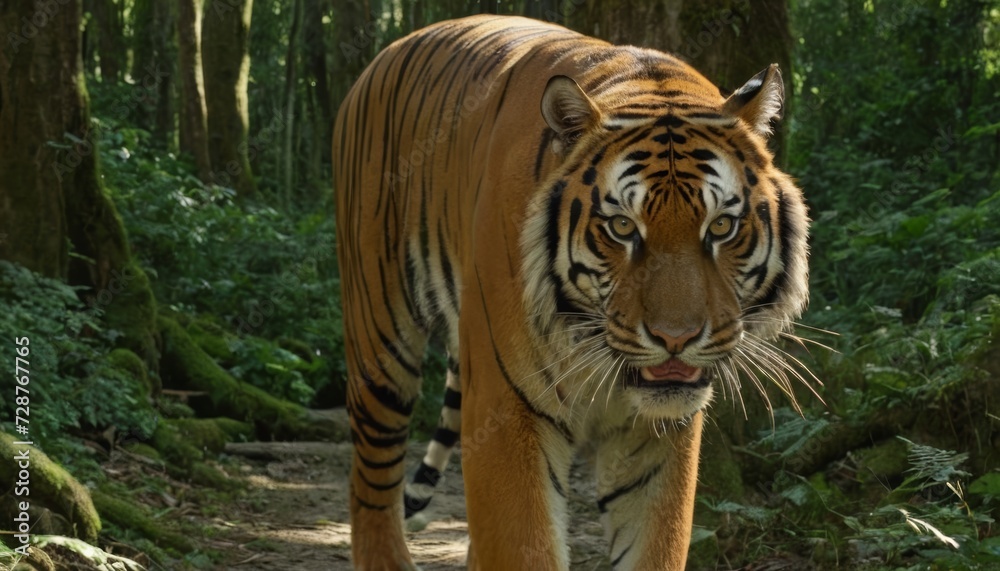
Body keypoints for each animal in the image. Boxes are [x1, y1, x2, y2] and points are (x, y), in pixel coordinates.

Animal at [333, 14, 809, 571]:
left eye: (721, 227)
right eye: (622, 227)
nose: (676, 338)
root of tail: (380, 60)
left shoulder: (658, 434)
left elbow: (656, 543)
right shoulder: (505, 407)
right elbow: (521, 544)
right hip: (380, 333)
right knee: (370, 481)